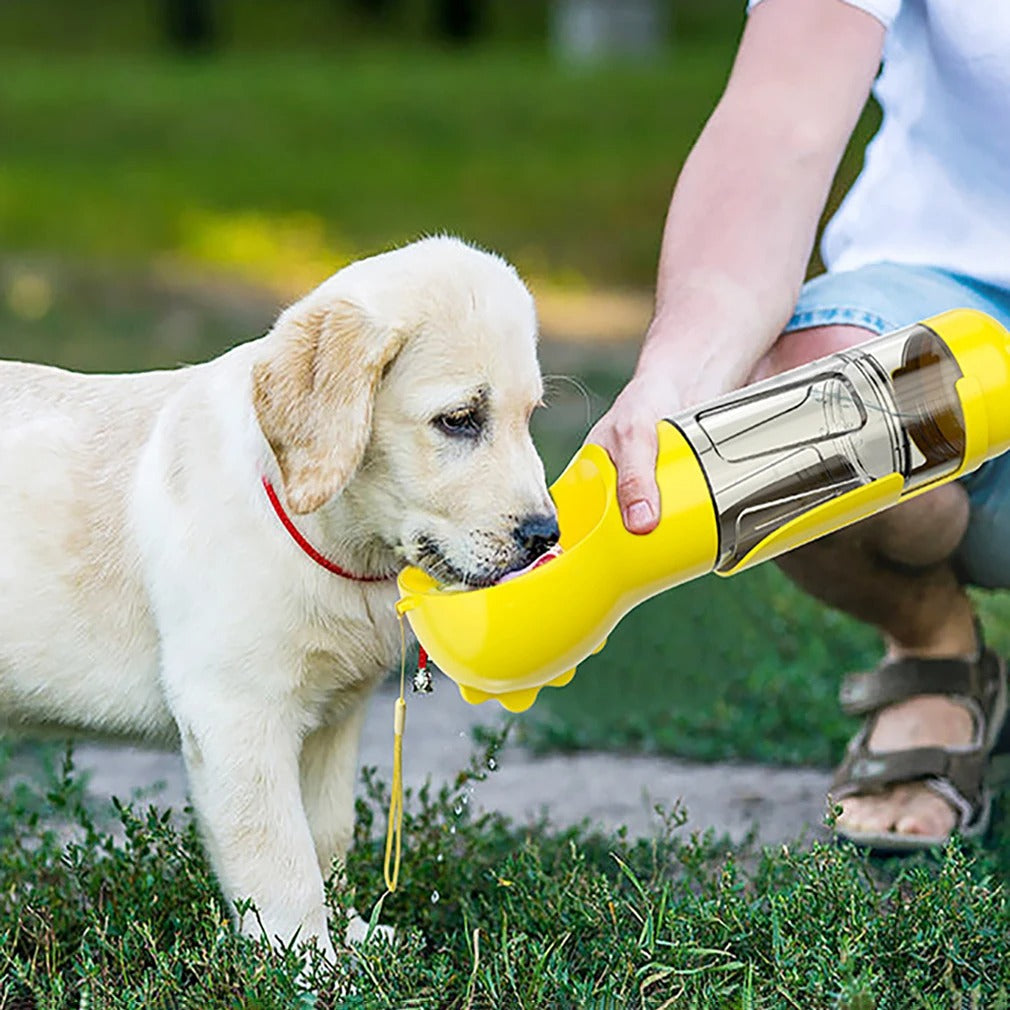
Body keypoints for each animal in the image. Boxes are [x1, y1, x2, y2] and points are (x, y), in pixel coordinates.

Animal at [0, 236, 557, 961]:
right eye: (460, 420)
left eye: (529, 417)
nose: (547, 536)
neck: (331, 539)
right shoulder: (237, 714)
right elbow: (280, 857)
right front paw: (309, 961)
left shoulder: (332, 721)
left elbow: (327, 837)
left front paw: (351, 936)